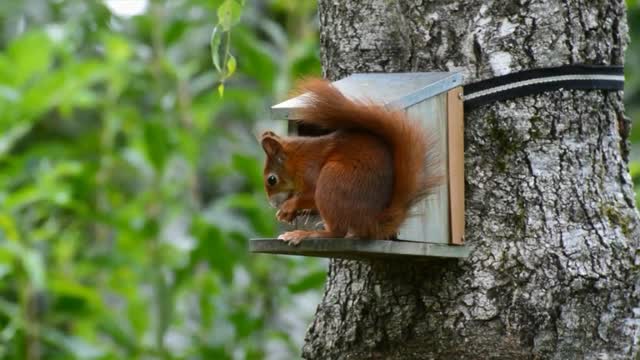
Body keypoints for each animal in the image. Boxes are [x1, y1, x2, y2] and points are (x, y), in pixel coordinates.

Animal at [258, 79, 436, 245]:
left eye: (271, 180)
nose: (273, 204)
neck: (298, 160)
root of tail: (371, 223)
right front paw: (298, 213)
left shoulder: (310, 171)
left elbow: (309, 194)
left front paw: (289, 207)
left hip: (332, 179)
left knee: (337, 232)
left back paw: (306, 234)